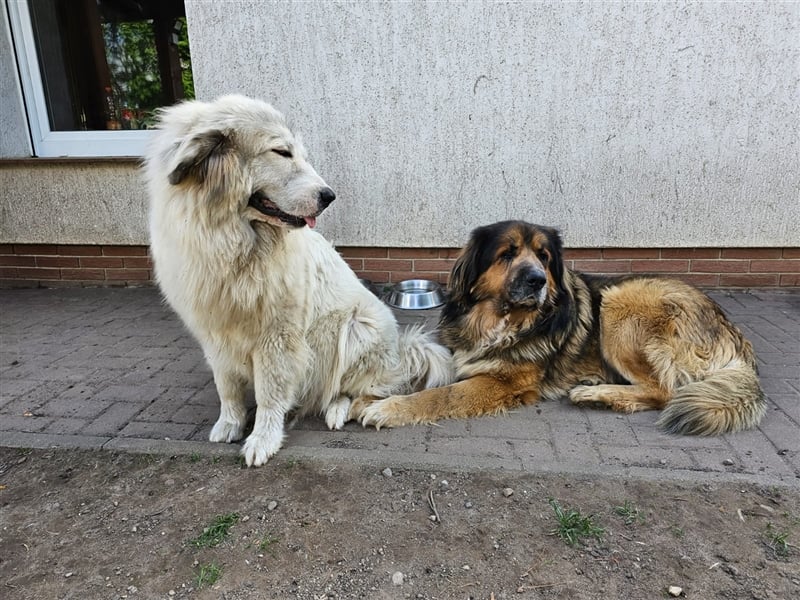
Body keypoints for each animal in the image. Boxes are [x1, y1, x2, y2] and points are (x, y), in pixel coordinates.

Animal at [146, 96, 454, 466]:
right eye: (281, 152)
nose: (329, 196)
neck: (234, 242)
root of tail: (401, 352)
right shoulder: (215, 336)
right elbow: (227, 387)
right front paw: (230, 424)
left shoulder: (277, 339)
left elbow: (269, 394)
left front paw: (262, 439)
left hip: (356, 329)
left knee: (352, 389)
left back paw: (337, 411)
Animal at [354, 220, 764, 436]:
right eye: (507, 254)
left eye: (544, 256)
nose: (537, 280)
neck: (500, 320)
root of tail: (736, 336)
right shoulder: (456, 356)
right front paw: (368, 396)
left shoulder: (503, 381)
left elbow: (442, 395)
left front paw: (388, 409)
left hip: (619, 300)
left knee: (664, 390)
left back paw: (595, 395)